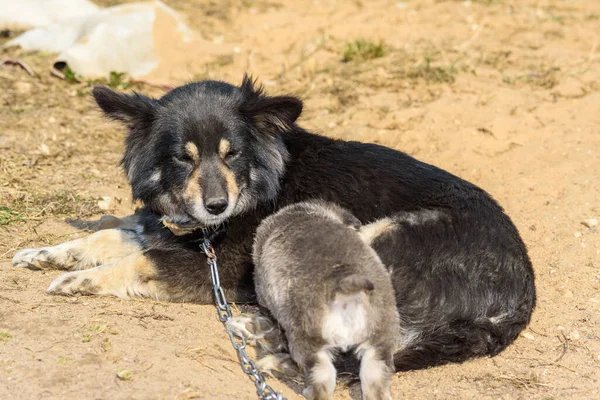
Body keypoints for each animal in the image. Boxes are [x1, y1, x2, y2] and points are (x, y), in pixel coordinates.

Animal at [11, 74, 536, 368]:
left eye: (232, 154)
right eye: (183, 158)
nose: (217, 207)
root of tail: (519, 297)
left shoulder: (216, 267)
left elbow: (139, 261)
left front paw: (79, 280)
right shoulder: (175, 230)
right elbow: (115, 232)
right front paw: (48, 254)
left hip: (374, 240)